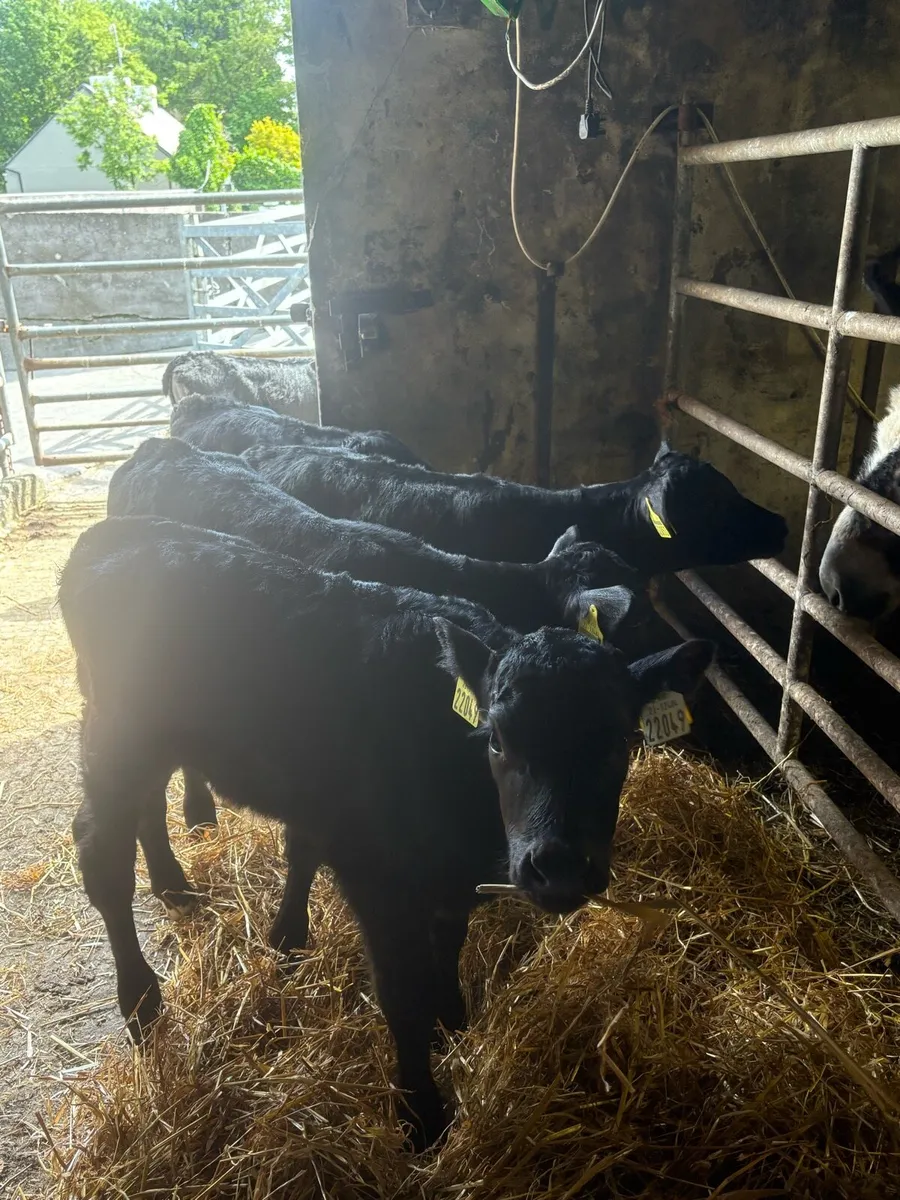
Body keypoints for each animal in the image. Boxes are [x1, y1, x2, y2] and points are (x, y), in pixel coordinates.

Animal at [61, 516, 713, 1149]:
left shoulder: (449, 874)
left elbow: (446, 941)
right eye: (497, 739)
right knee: (101, 852)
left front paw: (454, 1018)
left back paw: (175, 887)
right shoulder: (375, 872)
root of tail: (106, 537)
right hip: (116, 734)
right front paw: (421, 1114)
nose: (558, 867)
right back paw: (141, 1001)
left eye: (620, 740)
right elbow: (402, 992)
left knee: (146, 809)